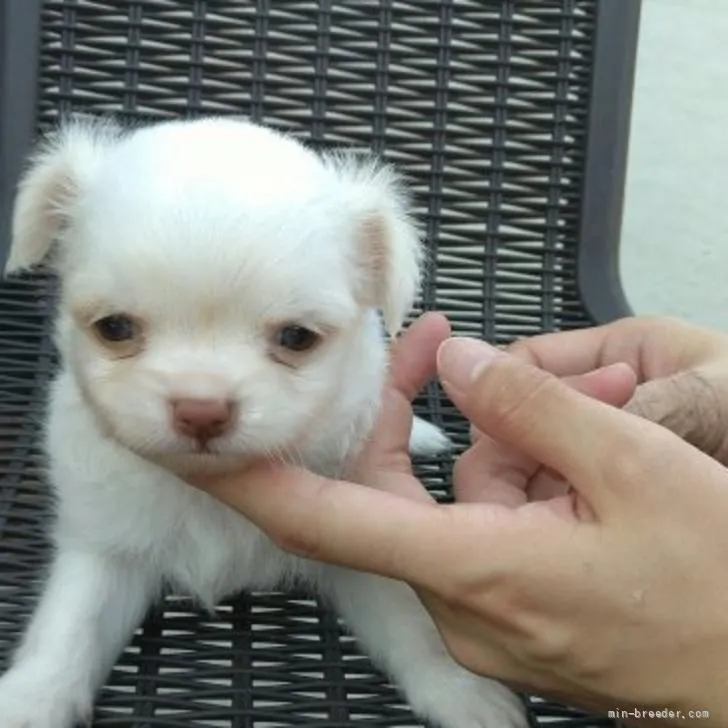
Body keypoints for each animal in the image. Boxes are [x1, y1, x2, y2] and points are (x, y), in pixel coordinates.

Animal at [0, 116, 528, 724]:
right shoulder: (105, 542)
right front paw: (30, 700)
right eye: (114, 328)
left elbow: (411, 620)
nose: (201, 408)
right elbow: (72, 628)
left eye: (296, 338)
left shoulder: (362, 549)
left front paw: (464, 689)